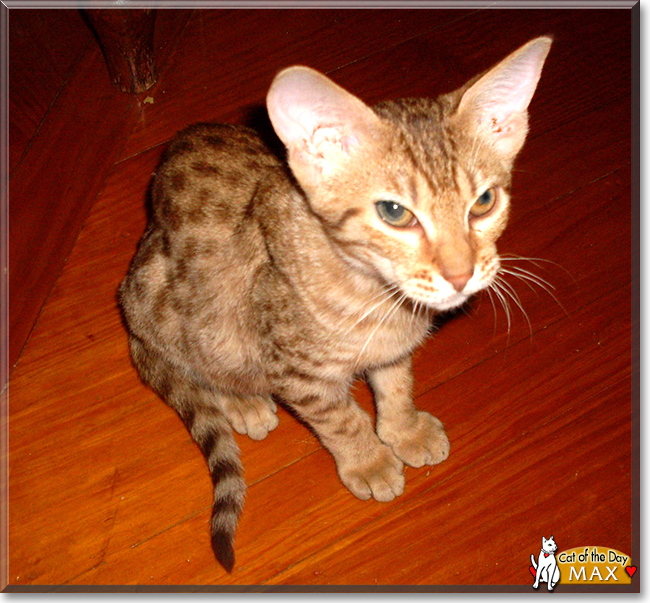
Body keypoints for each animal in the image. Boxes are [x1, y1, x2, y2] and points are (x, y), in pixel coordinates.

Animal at [119, 35, 548, 572]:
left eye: (485, 202)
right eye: (394, 212)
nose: (460, 274)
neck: (378, 297)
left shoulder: (393, 345)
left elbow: (396, 382)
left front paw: (403, 429)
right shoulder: (293, 368)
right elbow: (339, 417)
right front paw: (368, 459)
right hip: (179, 312)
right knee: (198, 365)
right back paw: (242, 400)